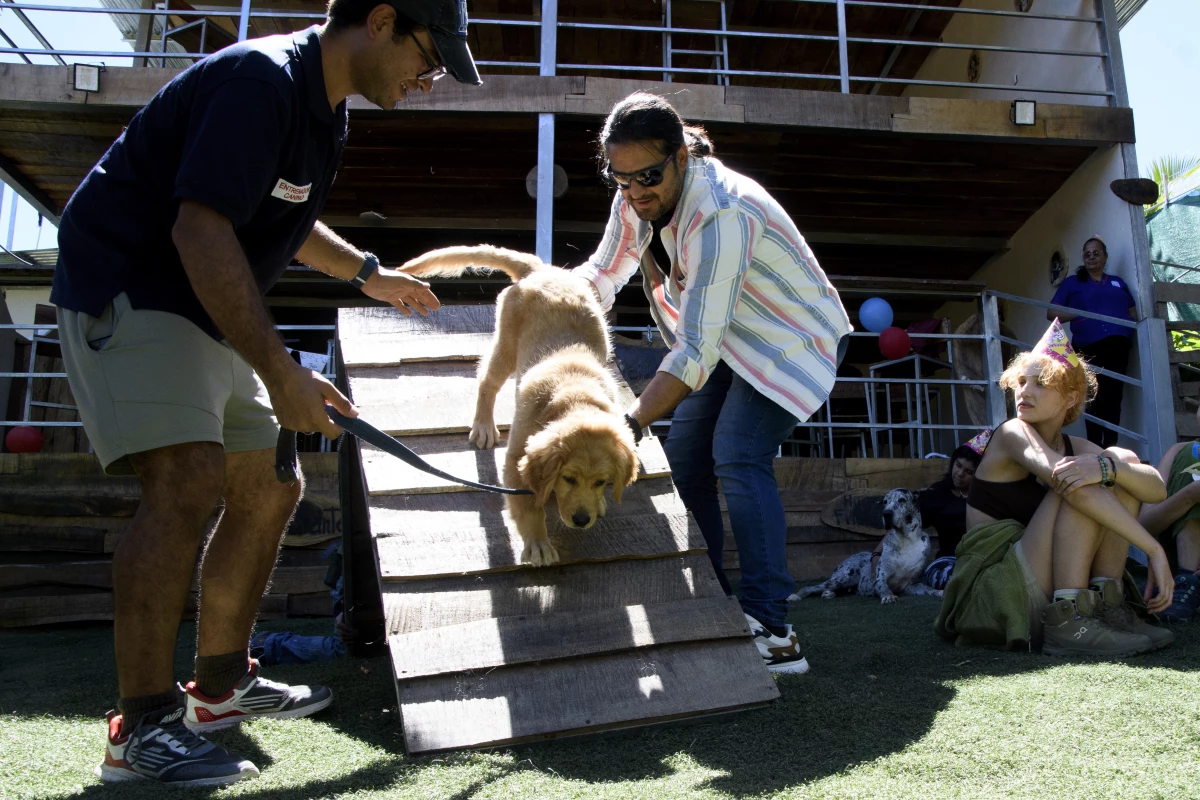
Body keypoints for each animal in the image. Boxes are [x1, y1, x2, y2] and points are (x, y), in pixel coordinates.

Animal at [396, 244, 638, 563]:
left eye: (601, 482)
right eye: (568, 478)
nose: (582, 520)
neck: (576, 393)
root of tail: (542, 269)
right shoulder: (516, 458)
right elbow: (528, 503)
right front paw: (537, 541)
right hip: (506, 346)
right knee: (486, 380)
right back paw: (483, 426)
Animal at [792, 489, 940, 606]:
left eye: (902, 500)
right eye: (885, 501)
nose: (886, 514)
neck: (906, 540)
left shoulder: (910, 586)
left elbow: (926, 588)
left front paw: (939, 592)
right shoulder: (880, 578)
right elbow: (884, 587)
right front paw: (888, 596)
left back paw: (828, 594)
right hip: (843, 578)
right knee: (810, 587)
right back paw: (796, 595)